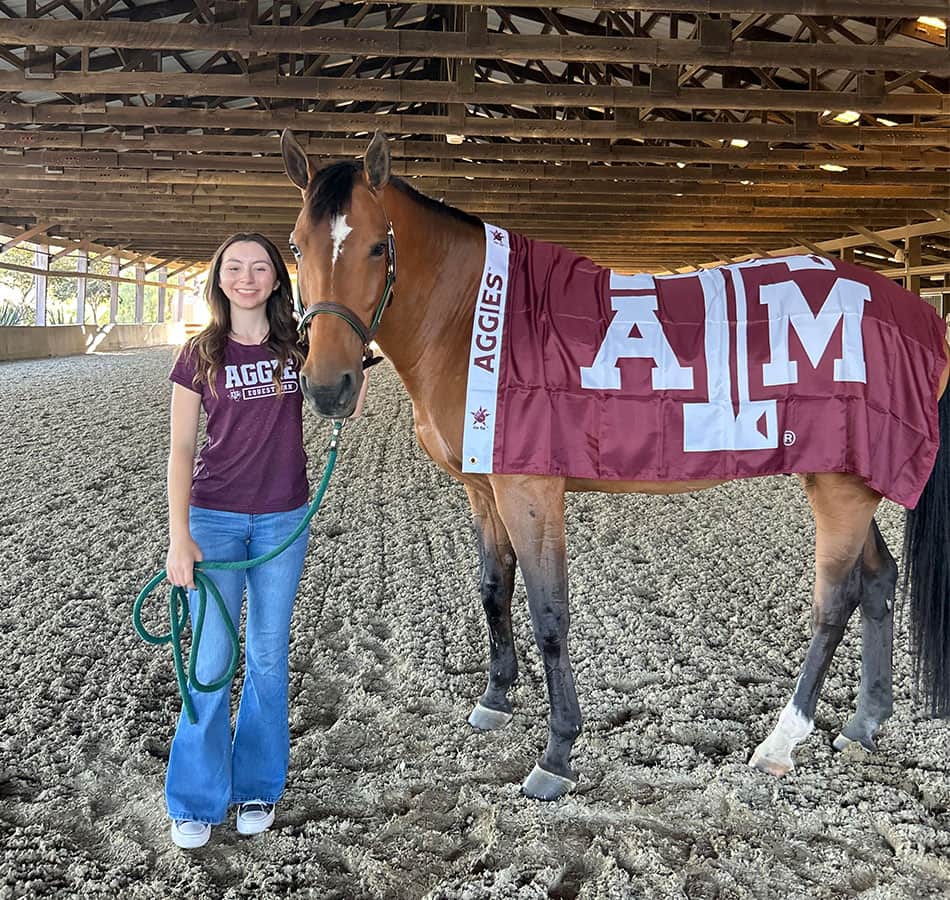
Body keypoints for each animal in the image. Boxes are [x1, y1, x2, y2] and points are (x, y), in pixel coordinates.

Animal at [278, 128, 948, 800]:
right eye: (296, 246)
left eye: (374, 246)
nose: (327, 387)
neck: (475, 317)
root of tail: (921, 317)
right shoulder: (483, 488)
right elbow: (495, 589)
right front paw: (495, 699)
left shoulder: (529, 491)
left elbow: (549, 613)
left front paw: (556, 753)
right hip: (848, 477)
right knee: (879, 580)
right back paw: (863, 724)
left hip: (840, 490)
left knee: (834, 604)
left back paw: (780, 742)